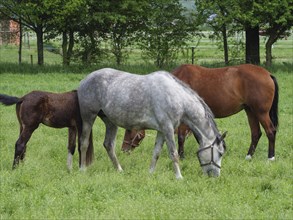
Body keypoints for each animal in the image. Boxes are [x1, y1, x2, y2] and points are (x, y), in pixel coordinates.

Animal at [77, 68, 226, 179]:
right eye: (220, 153)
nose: (215, 176)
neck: (176, 97)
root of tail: (85, 80)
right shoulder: (168, 129)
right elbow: (174, 153)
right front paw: (179, 177)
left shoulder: (162, 131)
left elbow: (156, 153)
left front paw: (150, 173)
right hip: (88, 117)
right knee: (84, 143)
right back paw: (82, 169)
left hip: (110, 122)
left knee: (109, 145)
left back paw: (119, 170)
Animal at [121, 62, 278, 161]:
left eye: (129, 131)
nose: (123, 149)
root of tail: (267, 74)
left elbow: (181, 137)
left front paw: (182, 156)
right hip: (250, 111)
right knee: (256, 133)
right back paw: (248, 156)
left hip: (261, 112)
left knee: (270, 131)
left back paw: (271, 157)